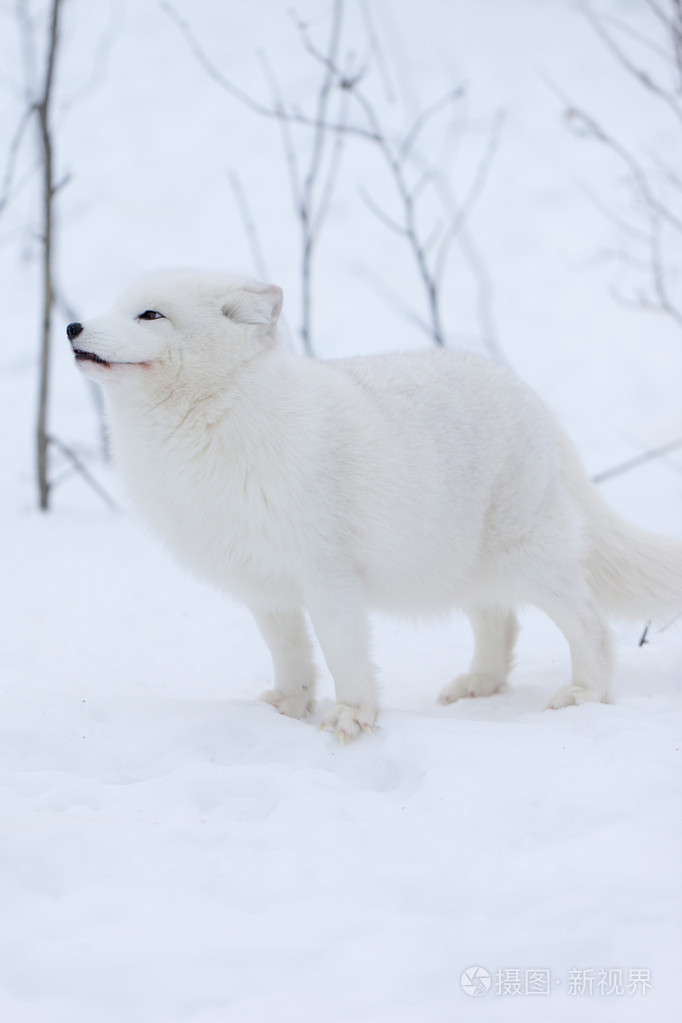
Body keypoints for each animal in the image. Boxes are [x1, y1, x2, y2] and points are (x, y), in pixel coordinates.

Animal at [67, 268, 682, 740]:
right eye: (116, 307)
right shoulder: (263, 582)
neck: (214, 428)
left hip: (527, 556)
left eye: (150, 316)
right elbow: (290, 654)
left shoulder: (327, 573)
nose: (72, 326)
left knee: (590, 623)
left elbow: (343, 651)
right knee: (500, 622)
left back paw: (585, 693)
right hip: (463, 563)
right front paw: (287, 708)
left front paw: (353, 717)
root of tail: (528, 394)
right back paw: (479, 685)